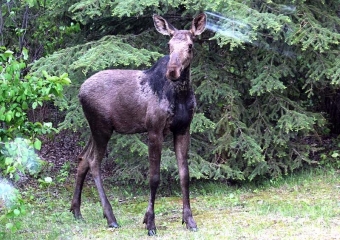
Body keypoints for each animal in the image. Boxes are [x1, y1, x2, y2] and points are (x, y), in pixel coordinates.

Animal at [70, 12, 206, 235]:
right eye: (168, 45)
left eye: (190, 45)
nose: (173, 71)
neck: (181, 96)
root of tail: (79, 92)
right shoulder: (154, 129)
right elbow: (154, 177)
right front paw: (150, 223)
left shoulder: (183, 129)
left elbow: (185, 175)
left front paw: (189, 220)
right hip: (101, 128)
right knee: (93, 162)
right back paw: (110, 217)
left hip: (95, 129)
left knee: (83, 158)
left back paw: (76, 211)